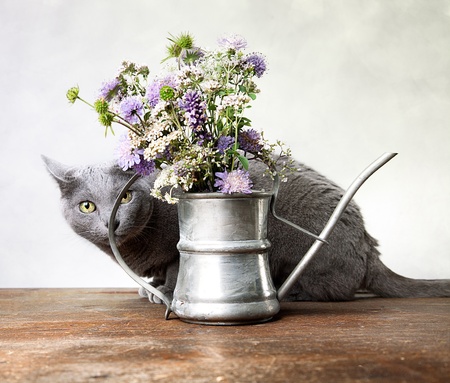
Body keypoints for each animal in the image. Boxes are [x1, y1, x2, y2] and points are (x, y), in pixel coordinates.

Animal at [43, 156, 450, 304]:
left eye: (125, 197)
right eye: (87, 206)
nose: (110, 222)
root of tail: (369, 247)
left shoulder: (176, 248)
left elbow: (175, 269)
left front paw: (167, 292)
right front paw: (151, 288)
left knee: (337, 290)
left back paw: (298, 292)